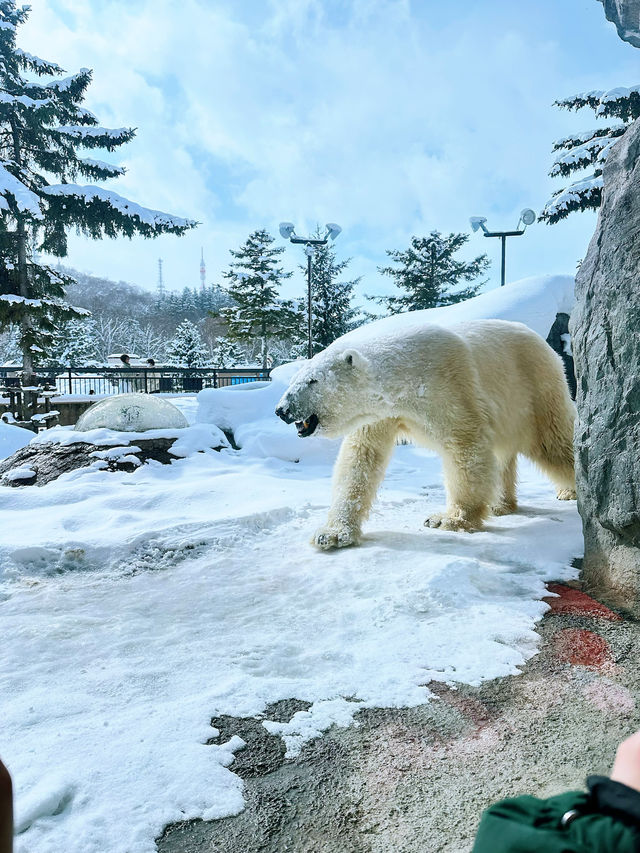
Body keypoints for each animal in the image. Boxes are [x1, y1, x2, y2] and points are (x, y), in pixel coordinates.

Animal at [276, 322, 576, 552]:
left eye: (313, 381)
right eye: (294, 379)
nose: (282, 410)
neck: (404, 376)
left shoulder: (447, 388)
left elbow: (465, 446)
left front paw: (449, 519)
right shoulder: (381, 413)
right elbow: (361, 458)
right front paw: (332, 534)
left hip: (534, 390)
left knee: (554, 441)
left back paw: (571, 489)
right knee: (503, 455)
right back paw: (500, 505)